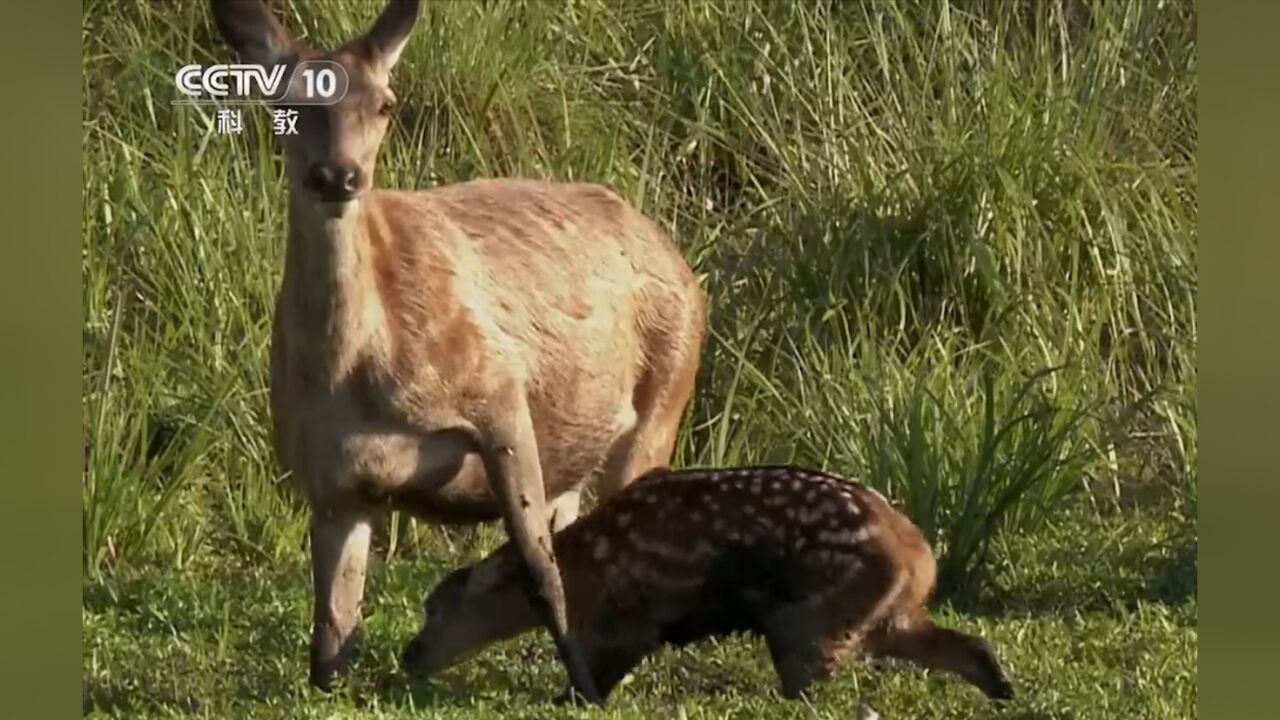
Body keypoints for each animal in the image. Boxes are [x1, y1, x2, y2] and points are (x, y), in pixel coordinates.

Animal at [211, 0, 711, 696]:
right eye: (285, 101)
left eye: (385, 104)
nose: (338, 176)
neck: (357, 373)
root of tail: (678, 256)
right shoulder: (331, 479)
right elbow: (330, 635)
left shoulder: (499, 393)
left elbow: (538, 568)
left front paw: (584, 685)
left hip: (664, 396)